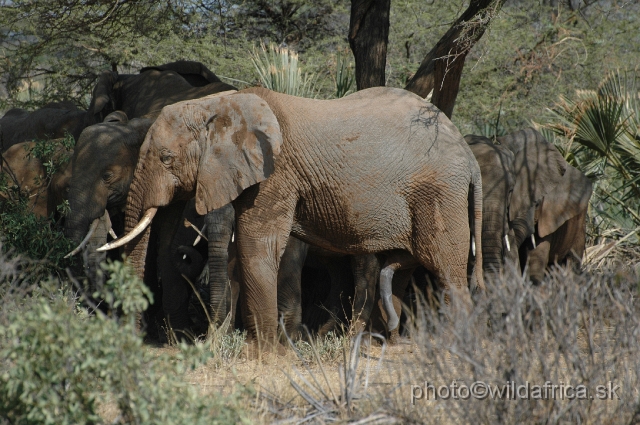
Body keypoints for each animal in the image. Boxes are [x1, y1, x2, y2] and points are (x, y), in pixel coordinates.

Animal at [105, 87, 482, 348]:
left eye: (166, 158)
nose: (135, 340)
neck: (220, 105)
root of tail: (467, 151)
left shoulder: (275, 172)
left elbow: (257, 246)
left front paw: (263, 353)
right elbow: (243, 252)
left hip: (439, 194)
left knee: (446, 268)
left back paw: (452, 348)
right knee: (400, 271)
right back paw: (379, 341)